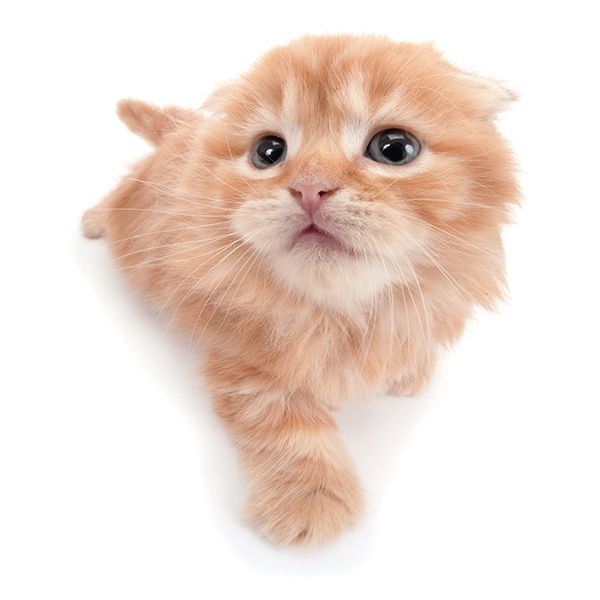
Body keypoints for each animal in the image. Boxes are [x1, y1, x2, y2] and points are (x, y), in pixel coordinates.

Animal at [82, 35, 516, 548]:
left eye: (394, 149)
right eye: (269, 152)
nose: (310, 188)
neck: (345, 314)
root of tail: (180, 136)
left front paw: (409, 370)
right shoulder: (246, 357)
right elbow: (286, 429)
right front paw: (311, 499)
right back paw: (92, 221)